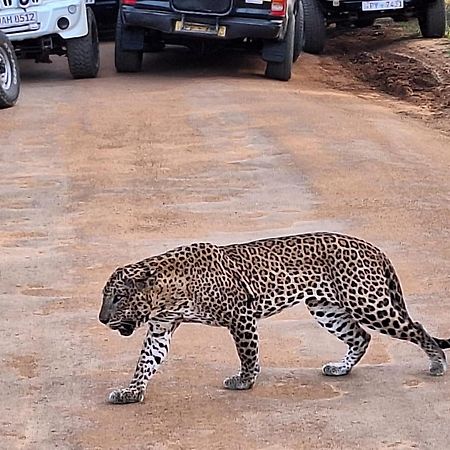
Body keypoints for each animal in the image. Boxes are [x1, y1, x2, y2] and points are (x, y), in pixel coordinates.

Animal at [98, 232, 450, 404]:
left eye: (117, 297)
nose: (101, 319)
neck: (167, 291)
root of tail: (373, 247)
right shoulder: (160, 328)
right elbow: (146, 362)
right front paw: (131, 392)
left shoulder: (240, 315)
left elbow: (248, 353)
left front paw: (244, 381)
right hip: (326, 308)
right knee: (361, 337)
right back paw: (340, 368)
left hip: (367, 302)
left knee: (416, 328)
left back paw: (437, 364)